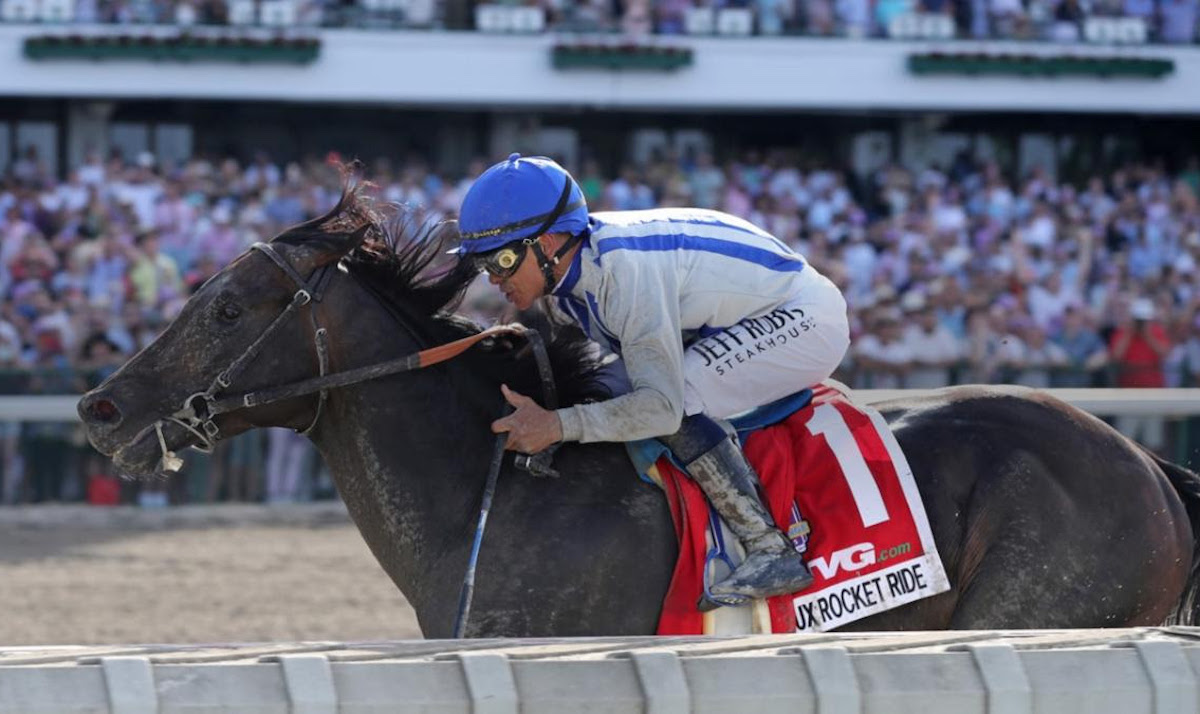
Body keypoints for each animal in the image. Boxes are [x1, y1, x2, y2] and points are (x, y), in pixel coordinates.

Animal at [77, 187, 1200, 638]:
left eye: (227, 306)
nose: (98, 406)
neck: (489, 497)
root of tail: (1149, 468)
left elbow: (668, 399)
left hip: (1041, 606)